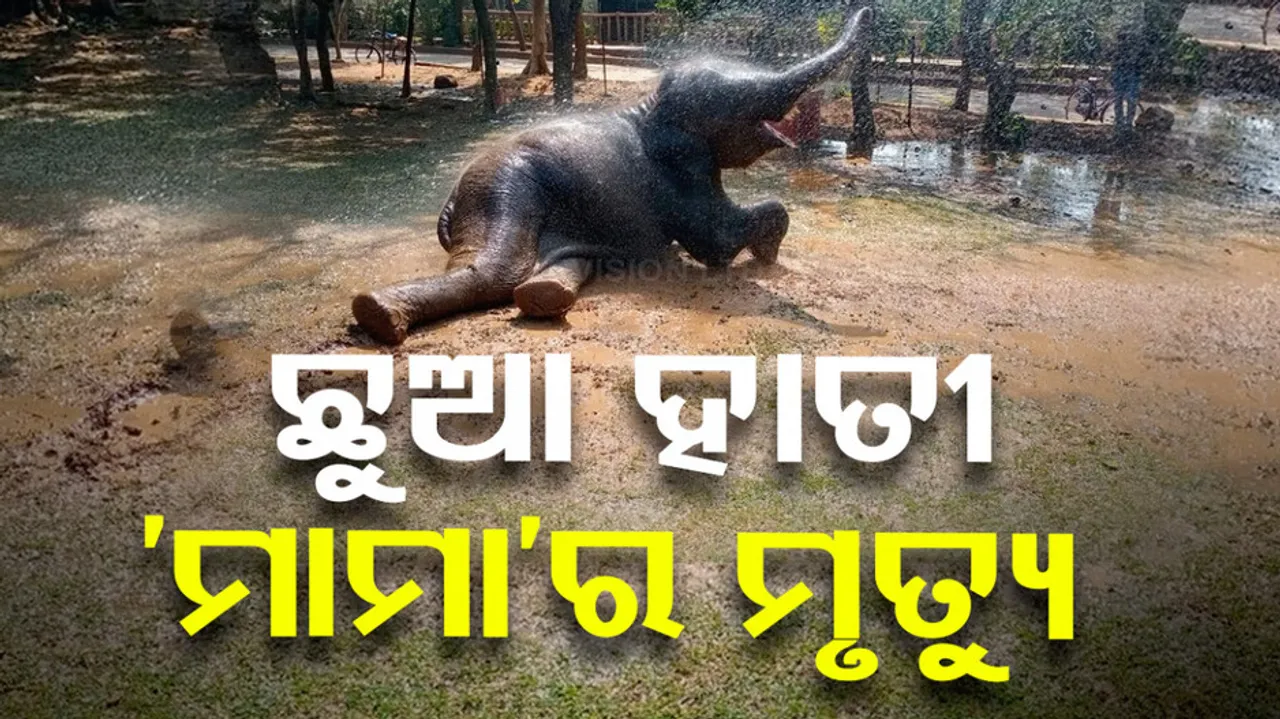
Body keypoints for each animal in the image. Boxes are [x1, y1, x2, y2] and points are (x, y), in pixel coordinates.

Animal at [352, 6, 871, 345]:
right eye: (733, 102)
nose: (867, 12)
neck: (651, 106)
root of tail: (451, 196)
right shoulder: (682, 170)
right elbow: (716, 241)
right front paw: (767, 254)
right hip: (502, 186)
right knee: (496, 268)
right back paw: (377, 315)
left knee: (560, 258)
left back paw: (544, 295)